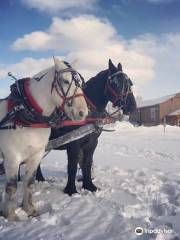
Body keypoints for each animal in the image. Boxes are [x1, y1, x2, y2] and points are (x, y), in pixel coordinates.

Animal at [0, 57, 88, 220]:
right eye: (65, 81)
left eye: (80, 83)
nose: (82, 112)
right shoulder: (12, 158)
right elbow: (11, 187)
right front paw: (11, 215)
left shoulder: (36, 155)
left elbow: (29, 183)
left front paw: (29, 209)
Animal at [35, 59, 136, 195]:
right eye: (115, 83)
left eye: (129, 82)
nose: (132, 106)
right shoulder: (74, 144)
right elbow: (72, 166)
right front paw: (71, 190)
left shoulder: (92, 143)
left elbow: (87, 164)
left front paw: (89, 186)